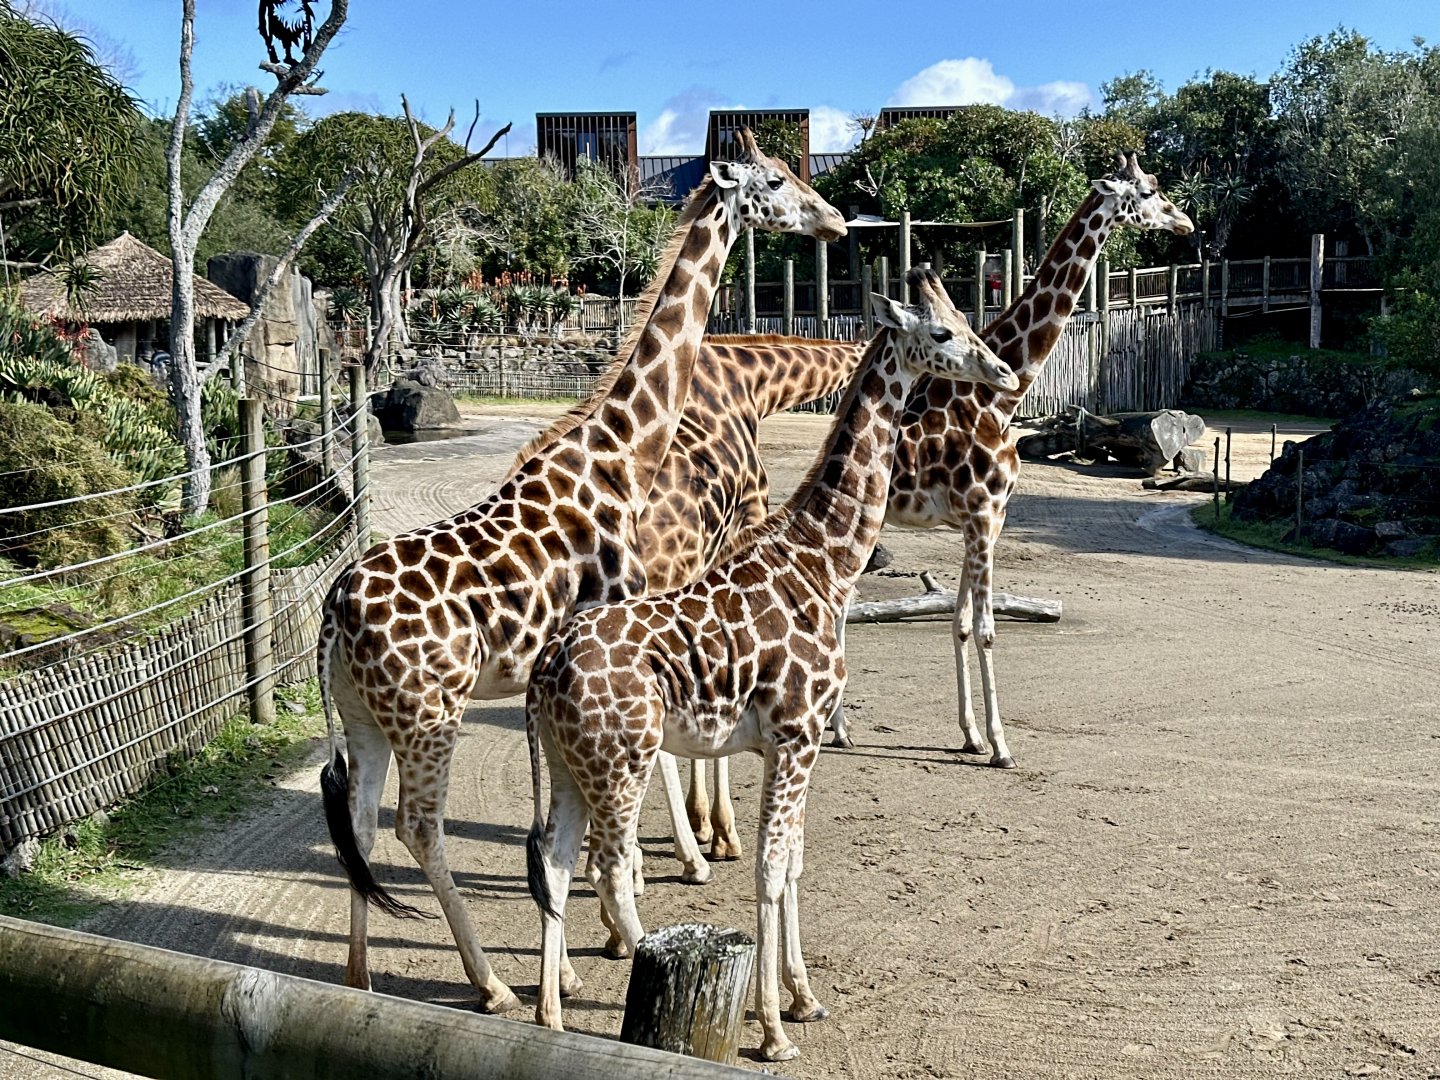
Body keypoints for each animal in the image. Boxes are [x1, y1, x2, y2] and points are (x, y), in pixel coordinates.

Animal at [314, 128, 847, 1013]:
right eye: (775, 181)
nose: (833, 220)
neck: (623, 451)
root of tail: (331, 612)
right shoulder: (614, 632)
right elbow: (612, 812)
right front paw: (619, 922)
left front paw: (580, 942)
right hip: (429, 714)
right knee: (417, 828)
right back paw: (493, 985)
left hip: (364, 716)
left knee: (357, 827)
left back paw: (360, 977)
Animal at [524, 270, 1019, 1061]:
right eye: (942, 332)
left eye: (971, 321)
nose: (1001, 372)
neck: (827, 562)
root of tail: (545, 670)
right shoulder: (795, 737)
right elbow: (768, 867)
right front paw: (773, 1028)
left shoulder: (794, 746)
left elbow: (792, 864)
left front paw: (804, 998)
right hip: (621, 761)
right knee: (612, 868)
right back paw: (635, 964)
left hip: (571, 765)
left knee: (559, 864)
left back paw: (549, 1016)